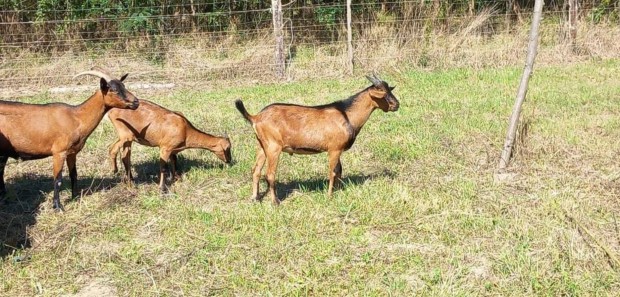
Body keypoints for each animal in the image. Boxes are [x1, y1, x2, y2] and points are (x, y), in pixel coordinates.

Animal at [0, 68, 139, 209]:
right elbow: (58, 179)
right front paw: (57, 206)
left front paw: (75, 197)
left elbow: (74, 174)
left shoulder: (72, 152)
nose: (136, 102)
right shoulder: (59, 152)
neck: (76, 117)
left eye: (124, 86)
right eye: (114, 90)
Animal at [235, 73, 400, 204]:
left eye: (389, 90)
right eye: (383, 93)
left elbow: (339, 170)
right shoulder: (334, 149)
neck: (347, 115)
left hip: (262, 145)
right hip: (273, 146)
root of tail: (256, 117)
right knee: (270, 174)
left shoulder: (338, 149)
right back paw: (275, 202)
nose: (396, 105)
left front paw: (339, 191)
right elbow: (333, 172)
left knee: (255, 170)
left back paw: (255, 198)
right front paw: (329, 196)